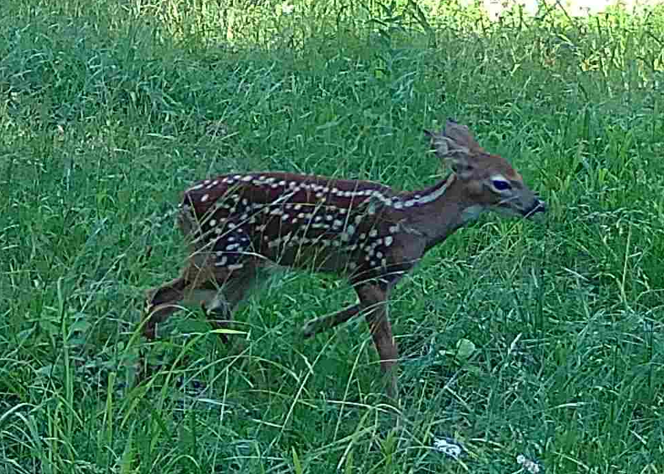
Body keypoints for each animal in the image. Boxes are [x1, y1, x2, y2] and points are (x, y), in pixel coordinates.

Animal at [141, 119, 545, 399]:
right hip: (224, 251)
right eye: (501, 182)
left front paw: (309, 327)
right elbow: (387, 347)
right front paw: (394, 409)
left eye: (518, 174)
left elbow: (355, 313)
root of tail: (184, 201)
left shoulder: (378, 275)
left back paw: (253, 373)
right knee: (161, 296)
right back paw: (144, 371)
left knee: (214, 307)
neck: (418, 222)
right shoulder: (371, 267)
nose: (537, 204)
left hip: (251, 263)